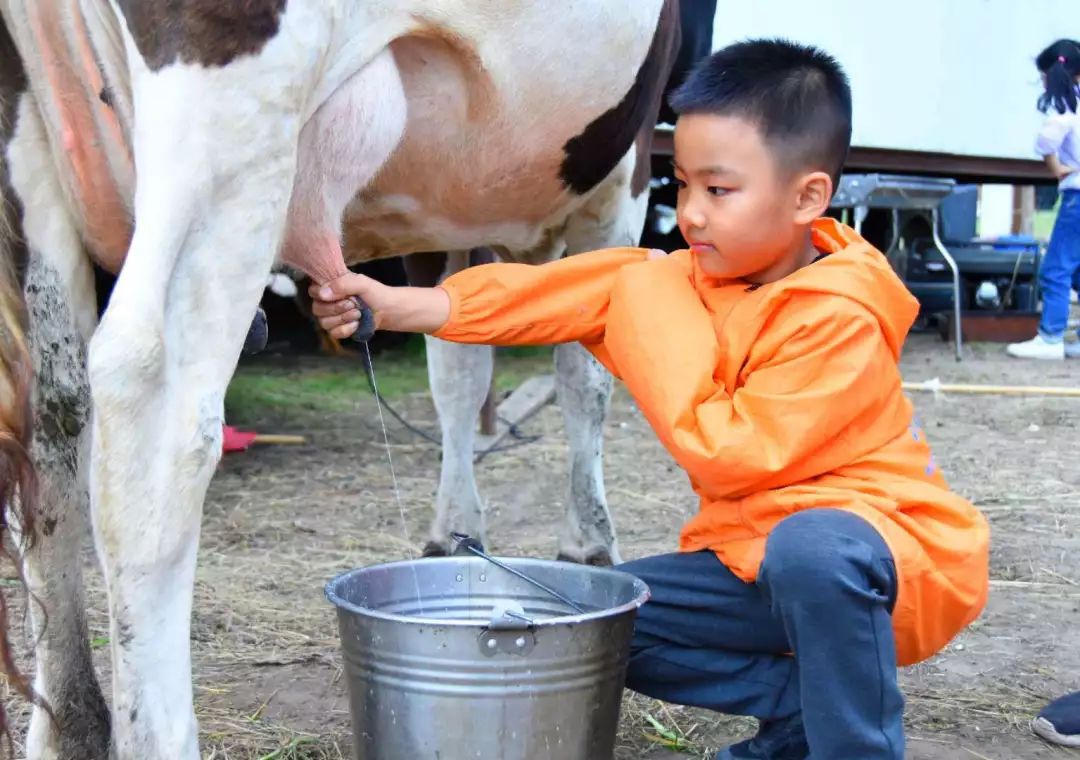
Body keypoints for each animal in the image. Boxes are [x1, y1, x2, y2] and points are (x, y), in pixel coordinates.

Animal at [0, 1, 678, 760]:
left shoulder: (443, 228)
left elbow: (457, 368)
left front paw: (455, 529)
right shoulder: (622, 176)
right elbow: (584, 376)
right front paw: (590, 542)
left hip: (27, 145)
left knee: (50, 427)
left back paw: (71, 727)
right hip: (232, 101)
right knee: (153, 414)